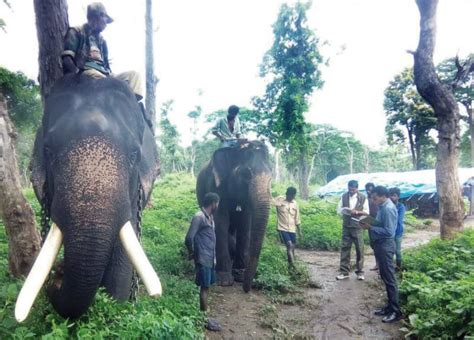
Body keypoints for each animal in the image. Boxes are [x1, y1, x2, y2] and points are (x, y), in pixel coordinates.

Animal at [195, 141, 270, 292]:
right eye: (246, 175)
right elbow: (220, 221)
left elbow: (245, 223)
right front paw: (224, 280)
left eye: (271, 177)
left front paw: (239, 275)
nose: (246, 289)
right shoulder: (214, 185)